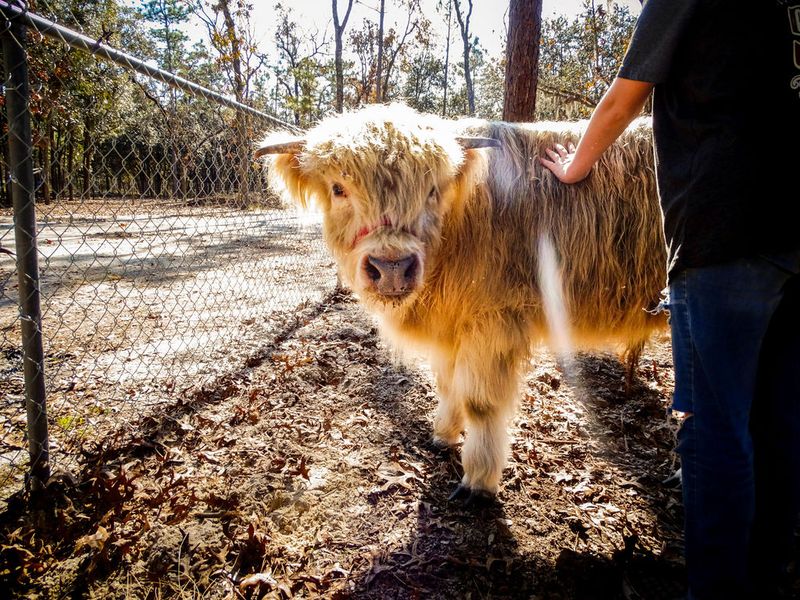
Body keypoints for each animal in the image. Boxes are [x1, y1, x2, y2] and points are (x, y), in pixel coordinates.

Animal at [257, 104, 667, 505]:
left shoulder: (494, 321)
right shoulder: (451, 325)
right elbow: (447, 383)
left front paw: (479, 480)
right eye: (339, 188)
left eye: (432, 191)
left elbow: (480, 402)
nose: (392, 268)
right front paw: (443, 435)